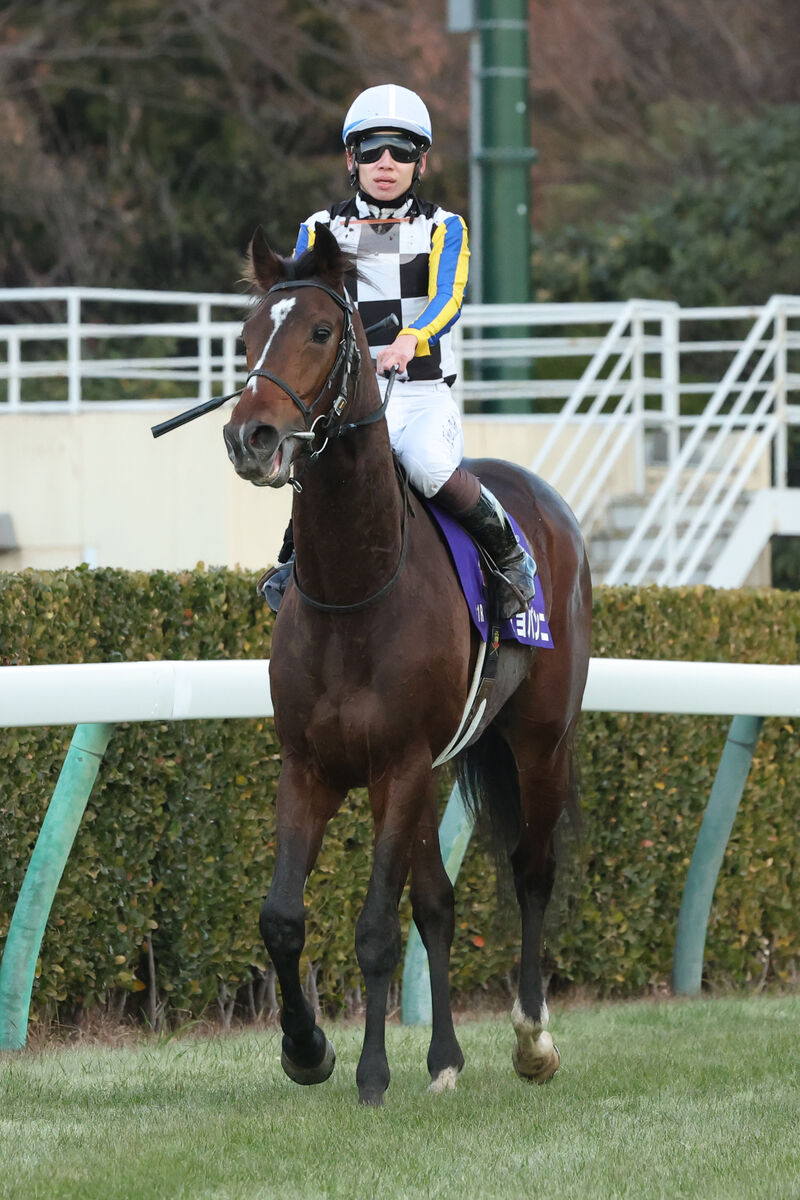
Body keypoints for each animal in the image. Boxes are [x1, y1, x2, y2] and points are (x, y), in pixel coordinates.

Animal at [221, 225, 592, 1104]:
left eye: (323, 331)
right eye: (246, 337)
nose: (250, 437)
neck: (354, 592)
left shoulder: (395, 765)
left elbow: (375, 930)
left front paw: (369, 1072)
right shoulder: (313, 766)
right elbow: (284, 918)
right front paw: (306, 1049)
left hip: (539, 742)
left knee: (531, 870)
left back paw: (533, 1039)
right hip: (437, 766)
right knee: (439, 903)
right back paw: (446, 1058)